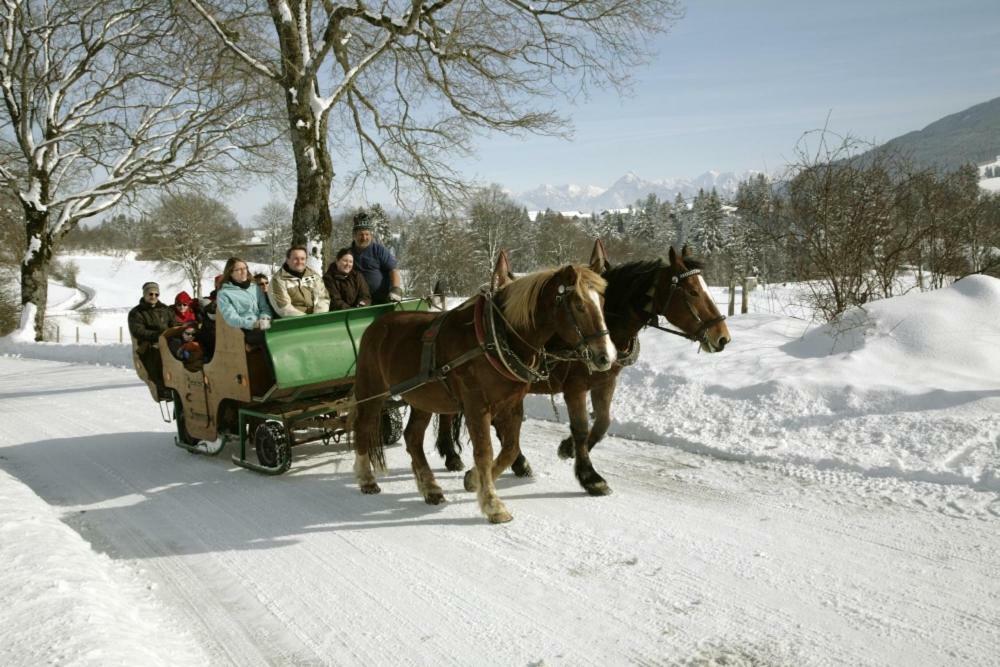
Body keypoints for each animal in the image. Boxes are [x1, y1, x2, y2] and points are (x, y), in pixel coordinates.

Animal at [352, 264, 616, 524]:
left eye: (603, 302)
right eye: (579, 305)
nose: (606, 357)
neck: (495, 338)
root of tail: (376, 324)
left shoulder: (512, 404)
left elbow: (510, 449)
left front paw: (473, 479)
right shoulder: (476, 406)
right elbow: (484, 452)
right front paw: (492, 504)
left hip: (423, 399)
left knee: (413, 438)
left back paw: (430, 488)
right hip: (372, 390)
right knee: (363, 427)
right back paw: (366, 478)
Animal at [434, 245, 732, 496]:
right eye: (692, 291)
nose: (723, 337)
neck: (609, 325)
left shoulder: (605, 382)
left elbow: (602, 423)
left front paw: (569, 449)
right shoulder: (574, 388)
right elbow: (580, 427)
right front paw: (590, 476)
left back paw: (511, 462)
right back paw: (456, 455)